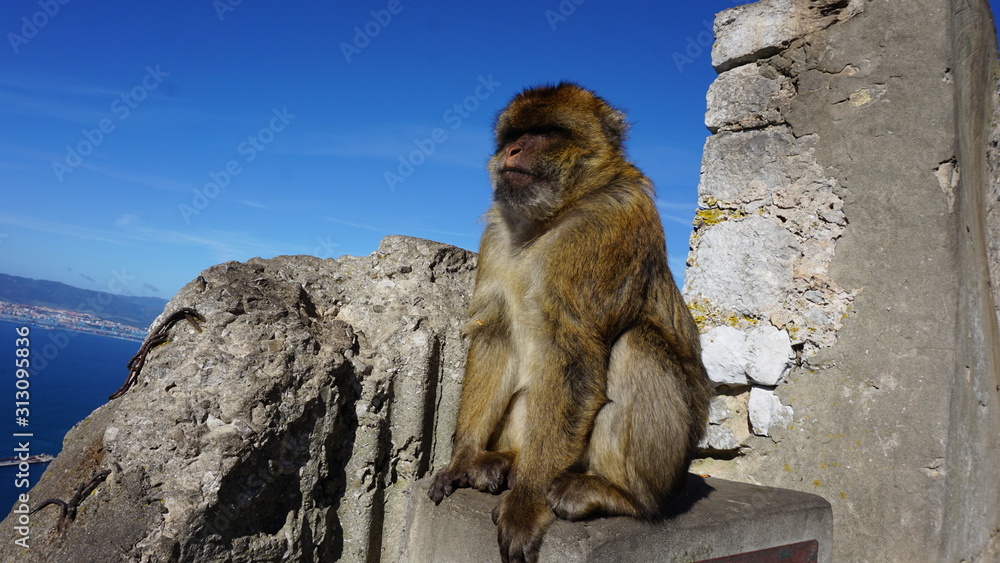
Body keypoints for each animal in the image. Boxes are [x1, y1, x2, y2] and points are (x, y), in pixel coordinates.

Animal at [428, 82, 711, 563]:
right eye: (515, 135)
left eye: (545, 133)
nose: (513, 151)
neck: (552, 216)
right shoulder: (498, 237)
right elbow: (495, 337)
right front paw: (463, 460)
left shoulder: (605, 226)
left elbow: (574, 355)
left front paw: (526, 502)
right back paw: (505, 460)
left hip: (668, 467)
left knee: (636, 344)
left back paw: (617, 495)